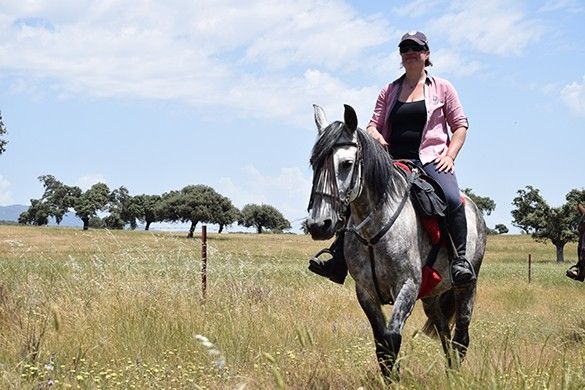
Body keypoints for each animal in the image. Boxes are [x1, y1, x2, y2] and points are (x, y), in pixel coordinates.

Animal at [306, 105, 488, 380]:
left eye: (347, 164)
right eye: (314, 164)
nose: (319, 224)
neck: (374, 229)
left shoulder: (407, 286)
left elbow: (392, 338)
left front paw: (395, 379)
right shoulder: (366, 292)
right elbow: (381, 342)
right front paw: (388, 378)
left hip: (466, 287)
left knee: (461, 335)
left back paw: (456, 376)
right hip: (431, 296)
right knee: (444, 333)